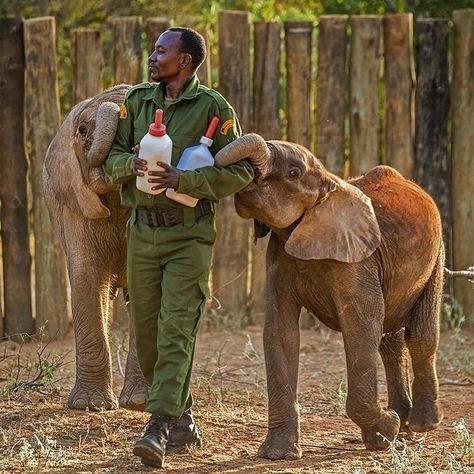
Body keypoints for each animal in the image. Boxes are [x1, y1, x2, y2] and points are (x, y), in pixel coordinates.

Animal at [215, 133, 444, 460]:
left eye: (293, 172)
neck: (328, 183)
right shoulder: (279, 256)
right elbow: (281, 332)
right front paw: (278, 455)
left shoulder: (358, 259)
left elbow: (361, 328)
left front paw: (385, 430)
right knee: (390, 340)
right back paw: (404, 429)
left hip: (437, 255)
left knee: (420, 334)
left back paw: (420, 425)